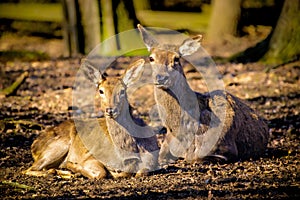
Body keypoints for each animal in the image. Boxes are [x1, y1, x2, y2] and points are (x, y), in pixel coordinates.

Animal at [24, 58, 159, 179]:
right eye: (101, 91)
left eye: (122, 91)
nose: (110, 110)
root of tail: (34, 145)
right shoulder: (90, 156)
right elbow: (101, 173)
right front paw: (74, 166)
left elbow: (141, 172)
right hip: (58, 146)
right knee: (28, 169)